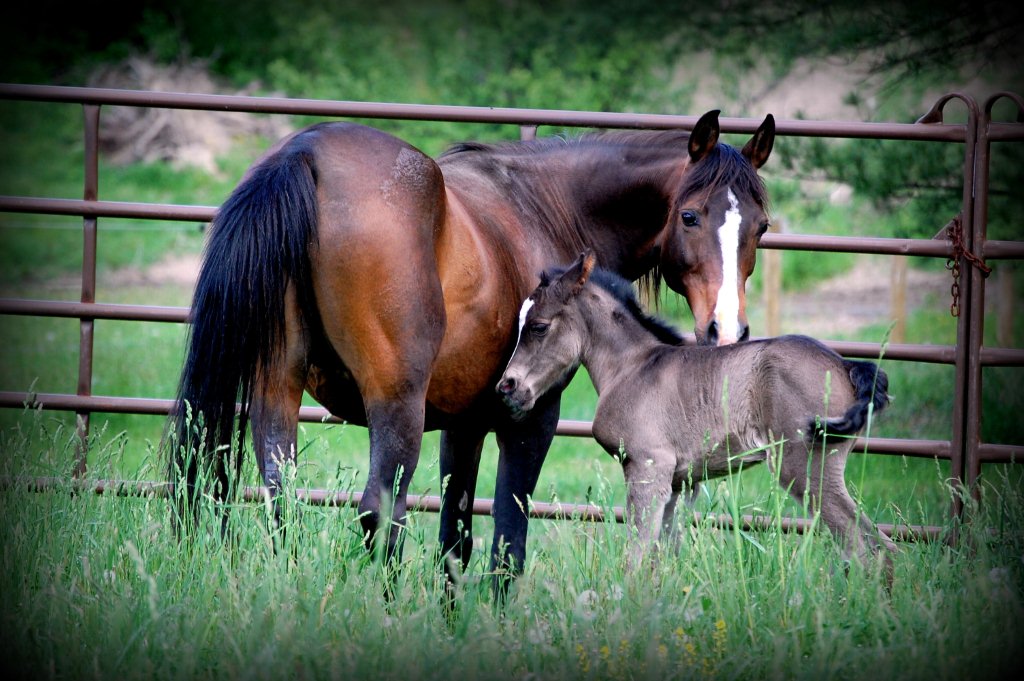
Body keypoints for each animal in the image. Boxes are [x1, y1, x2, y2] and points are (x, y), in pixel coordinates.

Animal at [167, 107, 774, 593]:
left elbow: (454, 538)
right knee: (380, 514)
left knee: (283, 499)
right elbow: (508, 538)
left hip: (277, 390)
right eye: (690, 216)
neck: (544, 208)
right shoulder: (530, 419)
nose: (725, 331)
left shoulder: (462, 424)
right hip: (396, 407)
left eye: (761, 227)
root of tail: (306, 154)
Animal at [497, 251, 897, 577]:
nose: (508, 386)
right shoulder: (678, 482)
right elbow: (660, 559)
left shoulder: (647, 468)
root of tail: (846, 364)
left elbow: (634, 560)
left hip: (805, 466)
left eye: (539, 327)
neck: (632, 366)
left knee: (872, 548)